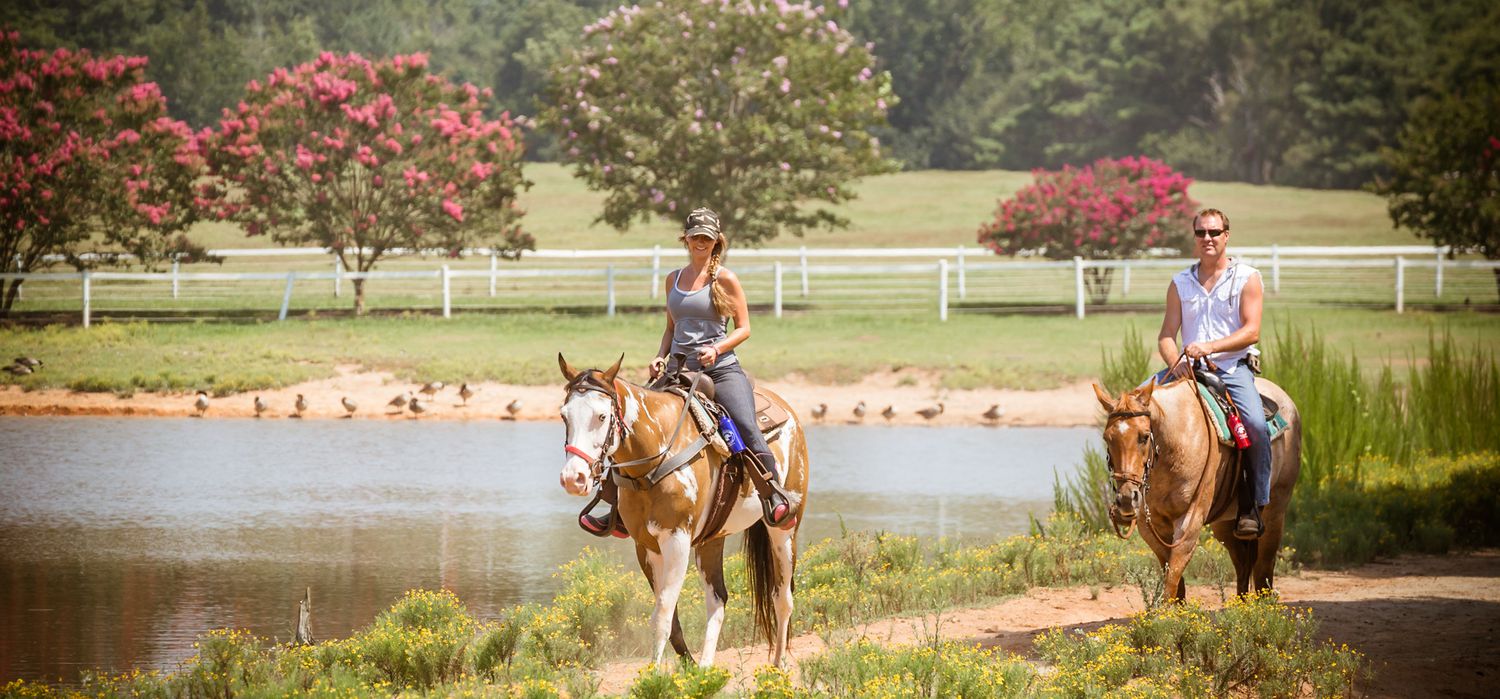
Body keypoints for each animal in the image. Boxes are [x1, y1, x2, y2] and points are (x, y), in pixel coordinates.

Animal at [558, 355, 810, 666]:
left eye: (602, 417)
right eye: (564, 416)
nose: (573, 478)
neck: (655, 458)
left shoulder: (677, 540)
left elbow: (663, 616)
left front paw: (654, 673)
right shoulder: (646, 546)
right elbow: (669, 618)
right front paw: (686, 667)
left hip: (784, 531)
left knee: (782, 597)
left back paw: (777, 664)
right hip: (712, 538)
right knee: (718, 598)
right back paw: (706, 666)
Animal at [1092, 372, 1302, 600]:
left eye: (1144, 436)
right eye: (1107, 438)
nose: (1126, 499)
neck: (1175, 445)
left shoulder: (1190, 522)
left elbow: (1172, 578)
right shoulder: (1149, 525)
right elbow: (1174, 580)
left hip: (1275, 512)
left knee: (1263, 569)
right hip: (1225, 524)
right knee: (1243, 563)